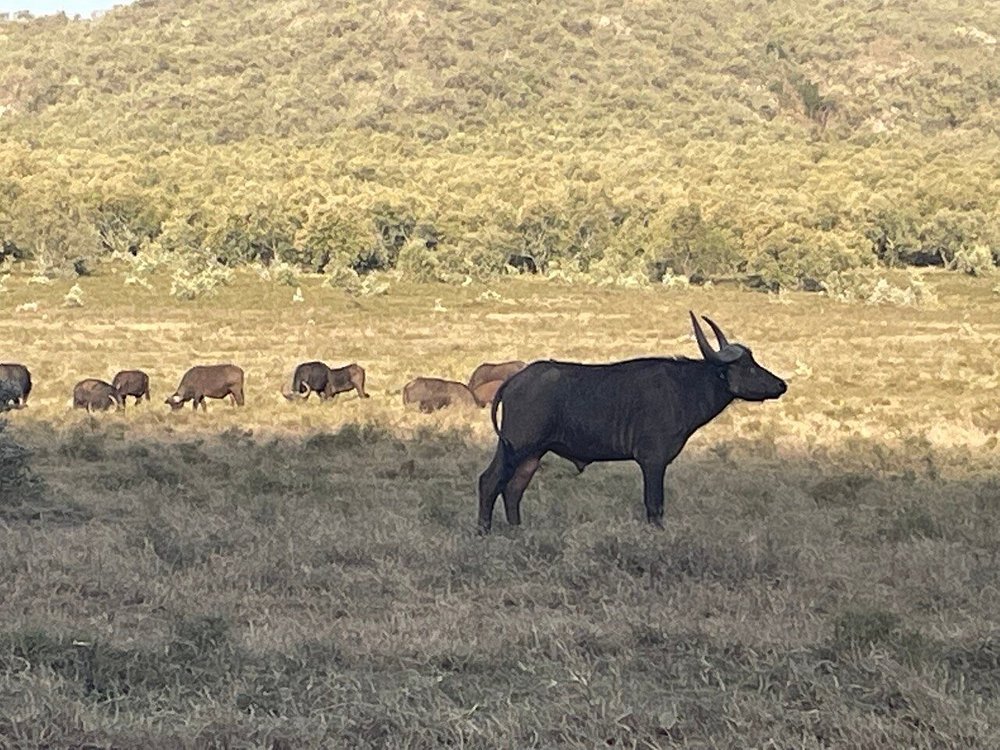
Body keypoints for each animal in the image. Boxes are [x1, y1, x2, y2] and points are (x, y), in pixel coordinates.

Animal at [477, 313, 787, 534]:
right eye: (748, 367)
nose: (781, 385)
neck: (684, 388)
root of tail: (515, 380)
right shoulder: (653, 461)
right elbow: (655, 505)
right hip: (515, 447)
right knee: (490, 481)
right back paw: (483, 531)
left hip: (532, 454)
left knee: (514, 488)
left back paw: (517, 530)